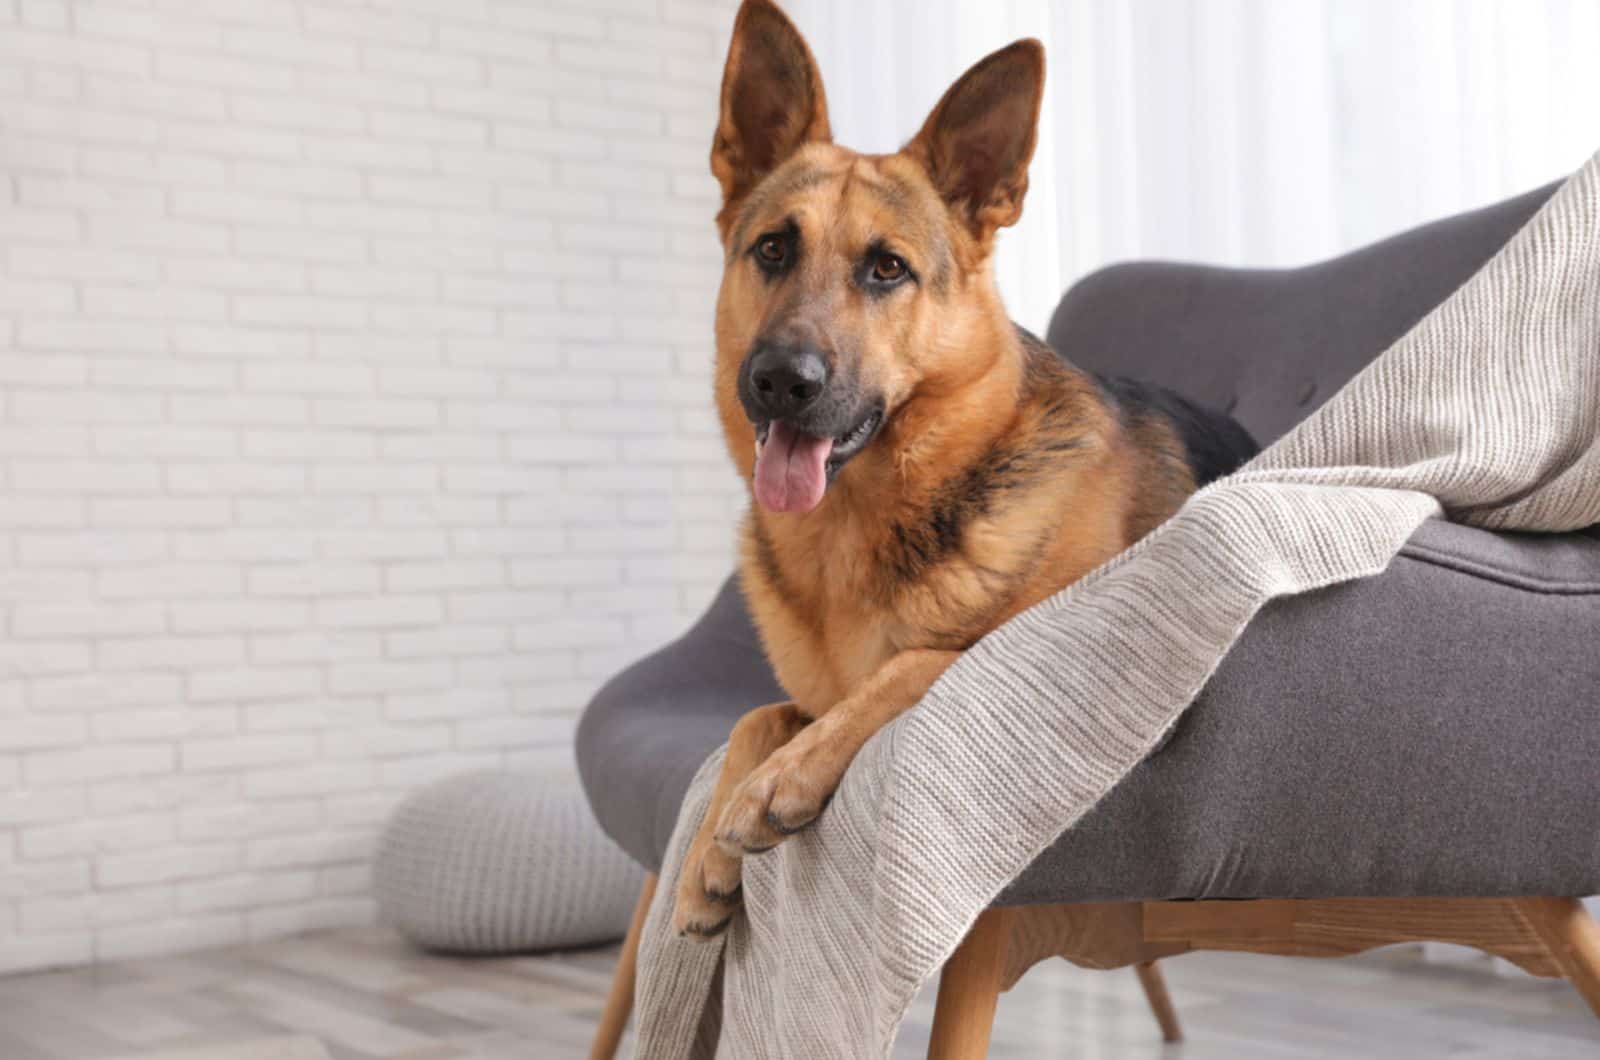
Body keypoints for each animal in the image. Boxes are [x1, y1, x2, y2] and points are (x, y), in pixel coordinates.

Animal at [668, 0, 1254, 941]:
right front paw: (704, 859)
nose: (782, 381)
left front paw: (776, 783)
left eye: (887, 268)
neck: (856, 530)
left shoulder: (1022, 652)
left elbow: (915, 664)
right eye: (773, 250)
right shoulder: (803, 693)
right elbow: (759, 715)